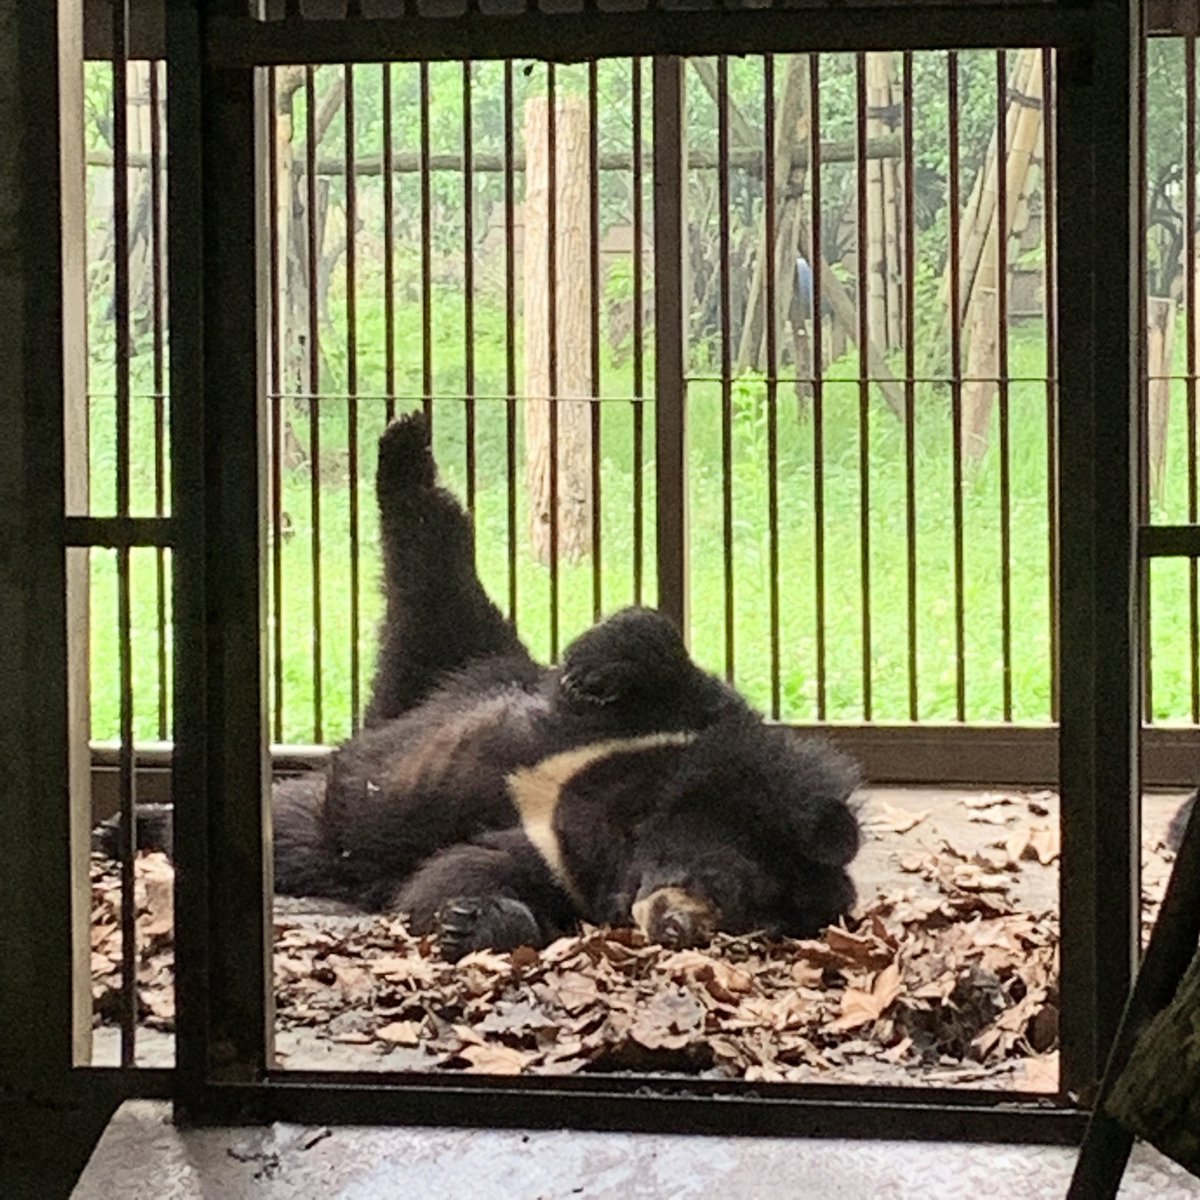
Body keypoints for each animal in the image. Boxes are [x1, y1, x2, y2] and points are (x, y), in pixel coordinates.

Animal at [96, 412, 862, 961]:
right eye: (724, 884)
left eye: (749, 922)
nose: (676, 926)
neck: (630, 821)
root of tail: (387, 708)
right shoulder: (683, 735)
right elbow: (665, 666)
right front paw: (592, 663)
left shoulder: (568, 867)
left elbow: (472, 870)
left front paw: (471, 922)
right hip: (458, 652)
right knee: (434, 560)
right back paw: (405, 443)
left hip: (340, 823)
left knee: (285, 830)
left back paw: (130, 827)